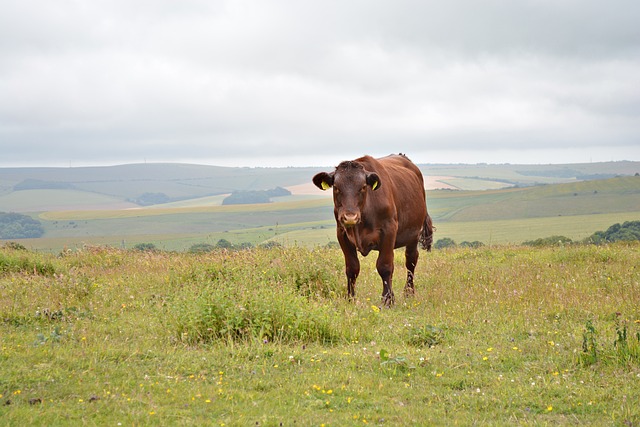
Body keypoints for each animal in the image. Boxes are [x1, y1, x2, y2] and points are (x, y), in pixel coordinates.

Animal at [312, 155, 432, 306]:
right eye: (336, 187)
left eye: (363, 187)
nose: (350, 217)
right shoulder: (342, 233)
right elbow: (352, 268)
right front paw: (351, 298)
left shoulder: (389, 230)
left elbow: (385, 266)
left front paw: (387, 300)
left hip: (414, 234)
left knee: (411, 261)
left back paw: (409, 293)